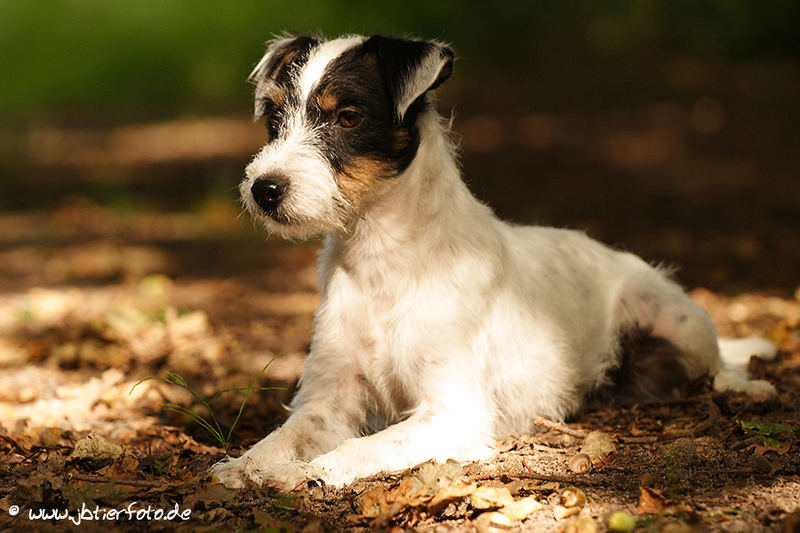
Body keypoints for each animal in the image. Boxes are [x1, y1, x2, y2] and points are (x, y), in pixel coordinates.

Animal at [209, 34, 780, 490]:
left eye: (347, 116)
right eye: (274, 118)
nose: (264, 189)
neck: (383, 260)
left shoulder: (453, 412)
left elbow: (370, 444)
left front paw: (321, 469)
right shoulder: (327, 400)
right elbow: (284, 437)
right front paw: (245, 465)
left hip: (676, 318)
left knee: (718, 363)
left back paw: (746, 386)